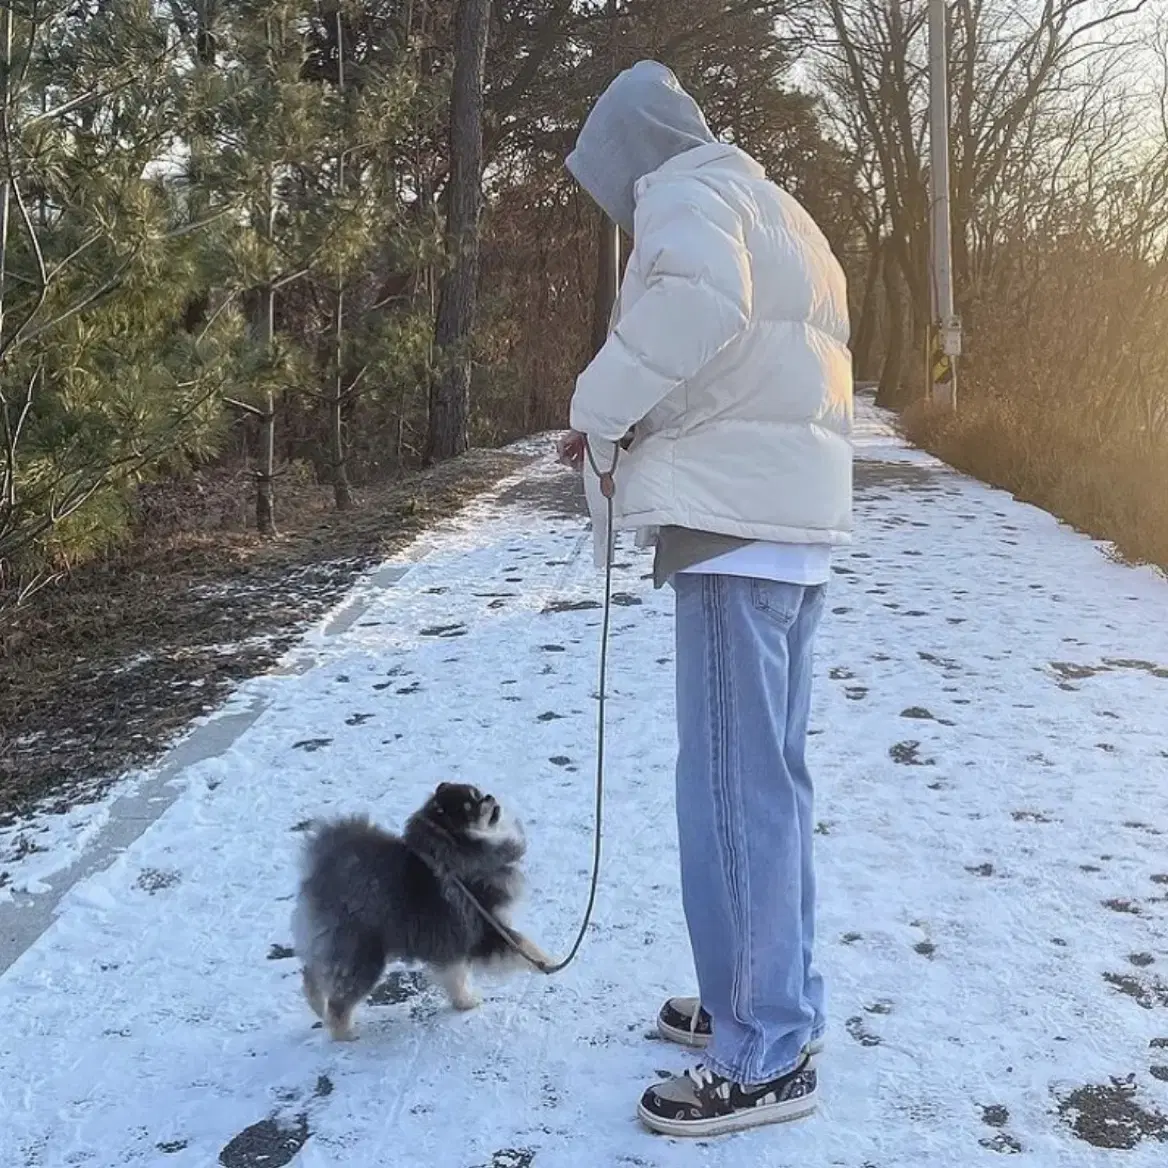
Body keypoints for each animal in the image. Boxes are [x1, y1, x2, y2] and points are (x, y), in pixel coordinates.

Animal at [289, 784, 548, 1041]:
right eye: (469, 808)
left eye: (477, 793)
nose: (489, 797)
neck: (459, 851)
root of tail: (321, 869)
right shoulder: (485, 926)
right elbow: (525, 945)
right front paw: (550, 964)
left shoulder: (453, 937)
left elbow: (456, 975)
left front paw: (464, 1002)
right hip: (362, 955)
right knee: (339, 999)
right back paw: (345, 1034)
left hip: (329, 944)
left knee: (312, 975)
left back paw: (318, 1008)